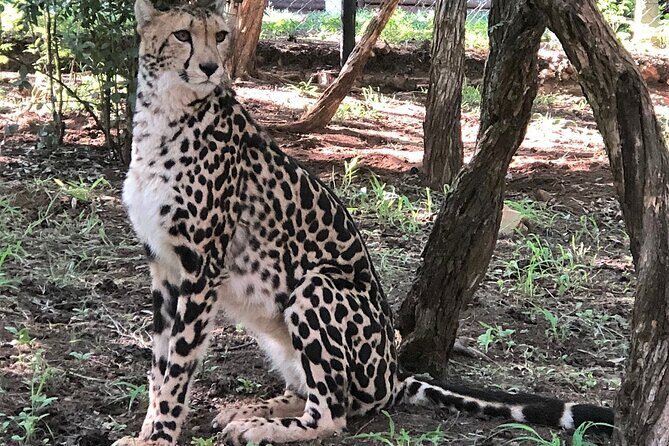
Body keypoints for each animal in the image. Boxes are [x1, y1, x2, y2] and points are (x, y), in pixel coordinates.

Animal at [114, 1, 614, 445]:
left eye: (220, 36)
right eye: (183, 35)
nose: (211, 67)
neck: (165, 116)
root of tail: (393, 371)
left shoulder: (201, 271)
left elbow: (178, 366)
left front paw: (159, 437)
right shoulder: (164, 268)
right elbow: (160, 364)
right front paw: (146, 432)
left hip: (316, 285)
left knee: (333, 412)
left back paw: (262, 425)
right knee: (325, 394)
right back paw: (253, 408)